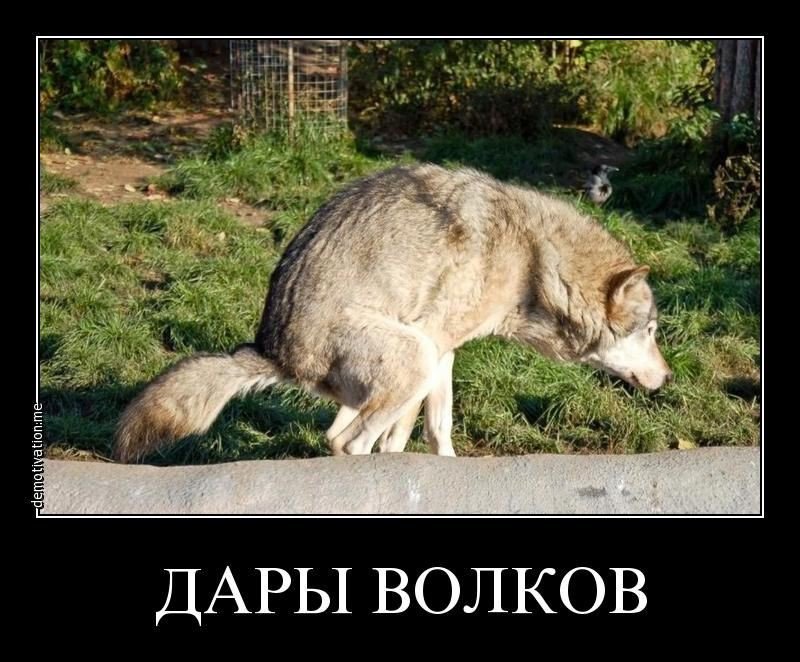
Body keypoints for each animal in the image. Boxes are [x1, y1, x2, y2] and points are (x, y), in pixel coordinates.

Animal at [114, 164, 672, 463]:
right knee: (350, 443)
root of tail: (273, 352)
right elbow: (413, 433)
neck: (535, 260)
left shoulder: (446, 351)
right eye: (650, 330)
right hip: (413, 355)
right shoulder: (437, 343)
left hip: (404, 368)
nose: (667, 378)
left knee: (336, 437)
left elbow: (434, 428)